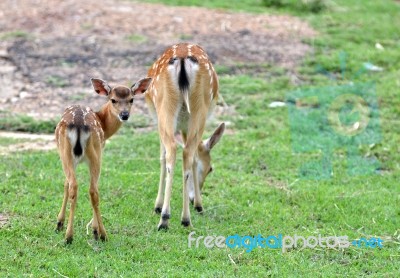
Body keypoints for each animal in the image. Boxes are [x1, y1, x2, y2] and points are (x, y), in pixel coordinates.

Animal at [54, 76, 151, 243]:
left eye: (131, 99)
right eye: (113, 100)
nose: (124, 114)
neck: (103, 124)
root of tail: (78, 125)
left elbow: (65, 185)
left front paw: (59, 223)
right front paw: (94, 230)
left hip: (65, 154)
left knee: (74, 186)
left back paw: (69, 236)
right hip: (95, 153)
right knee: (93, 190)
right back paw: (103, 234)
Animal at [135, 43, 225, 230]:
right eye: (211, 169)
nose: (191, 199)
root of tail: (183, 59)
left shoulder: (161, 120)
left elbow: (163, 157)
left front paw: (158, 205)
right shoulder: (184, 126)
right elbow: (194, 158)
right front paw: (197, 204)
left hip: (165, 108)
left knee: (172, 151)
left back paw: (167, 217)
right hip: (197, 110)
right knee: (187, 153)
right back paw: (184, 218)